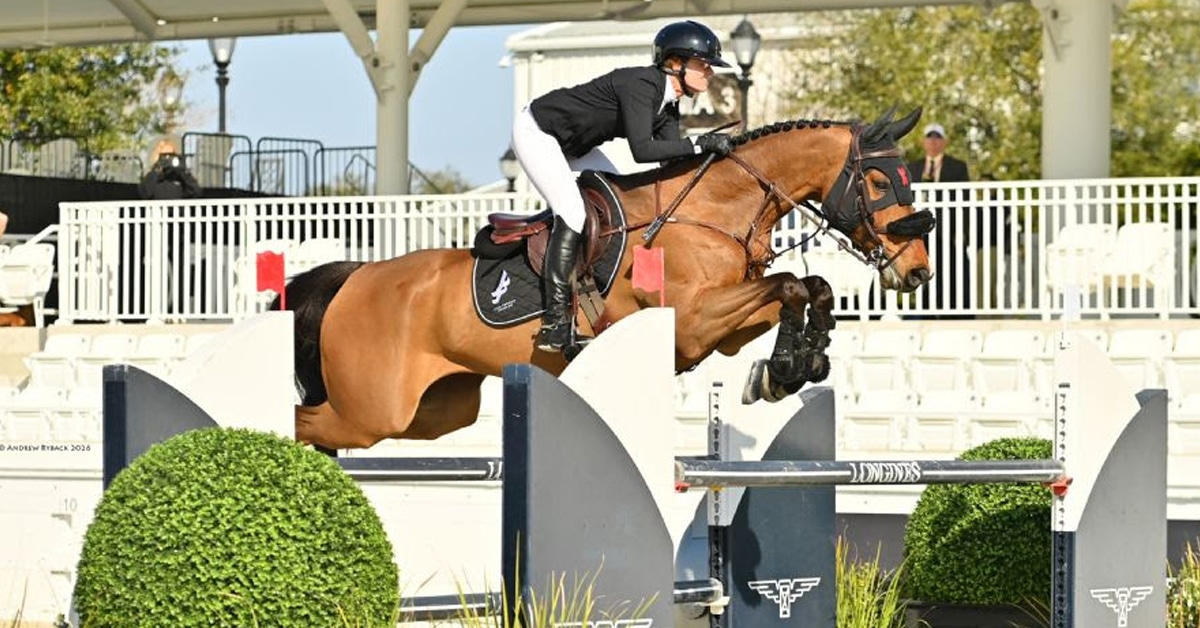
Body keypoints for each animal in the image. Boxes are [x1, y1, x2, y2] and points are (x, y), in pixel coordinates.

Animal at [279, 107, 934, 449]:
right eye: (881, 183)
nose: (918, 270)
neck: (714, 209)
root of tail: (354, 277)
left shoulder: (720, 330)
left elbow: (808, 288)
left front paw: (790, 367)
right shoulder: (691, 324)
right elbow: (793, 285)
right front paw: (785, 368)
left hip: (435, 412)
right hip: (374, 411)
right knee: (305, 421)